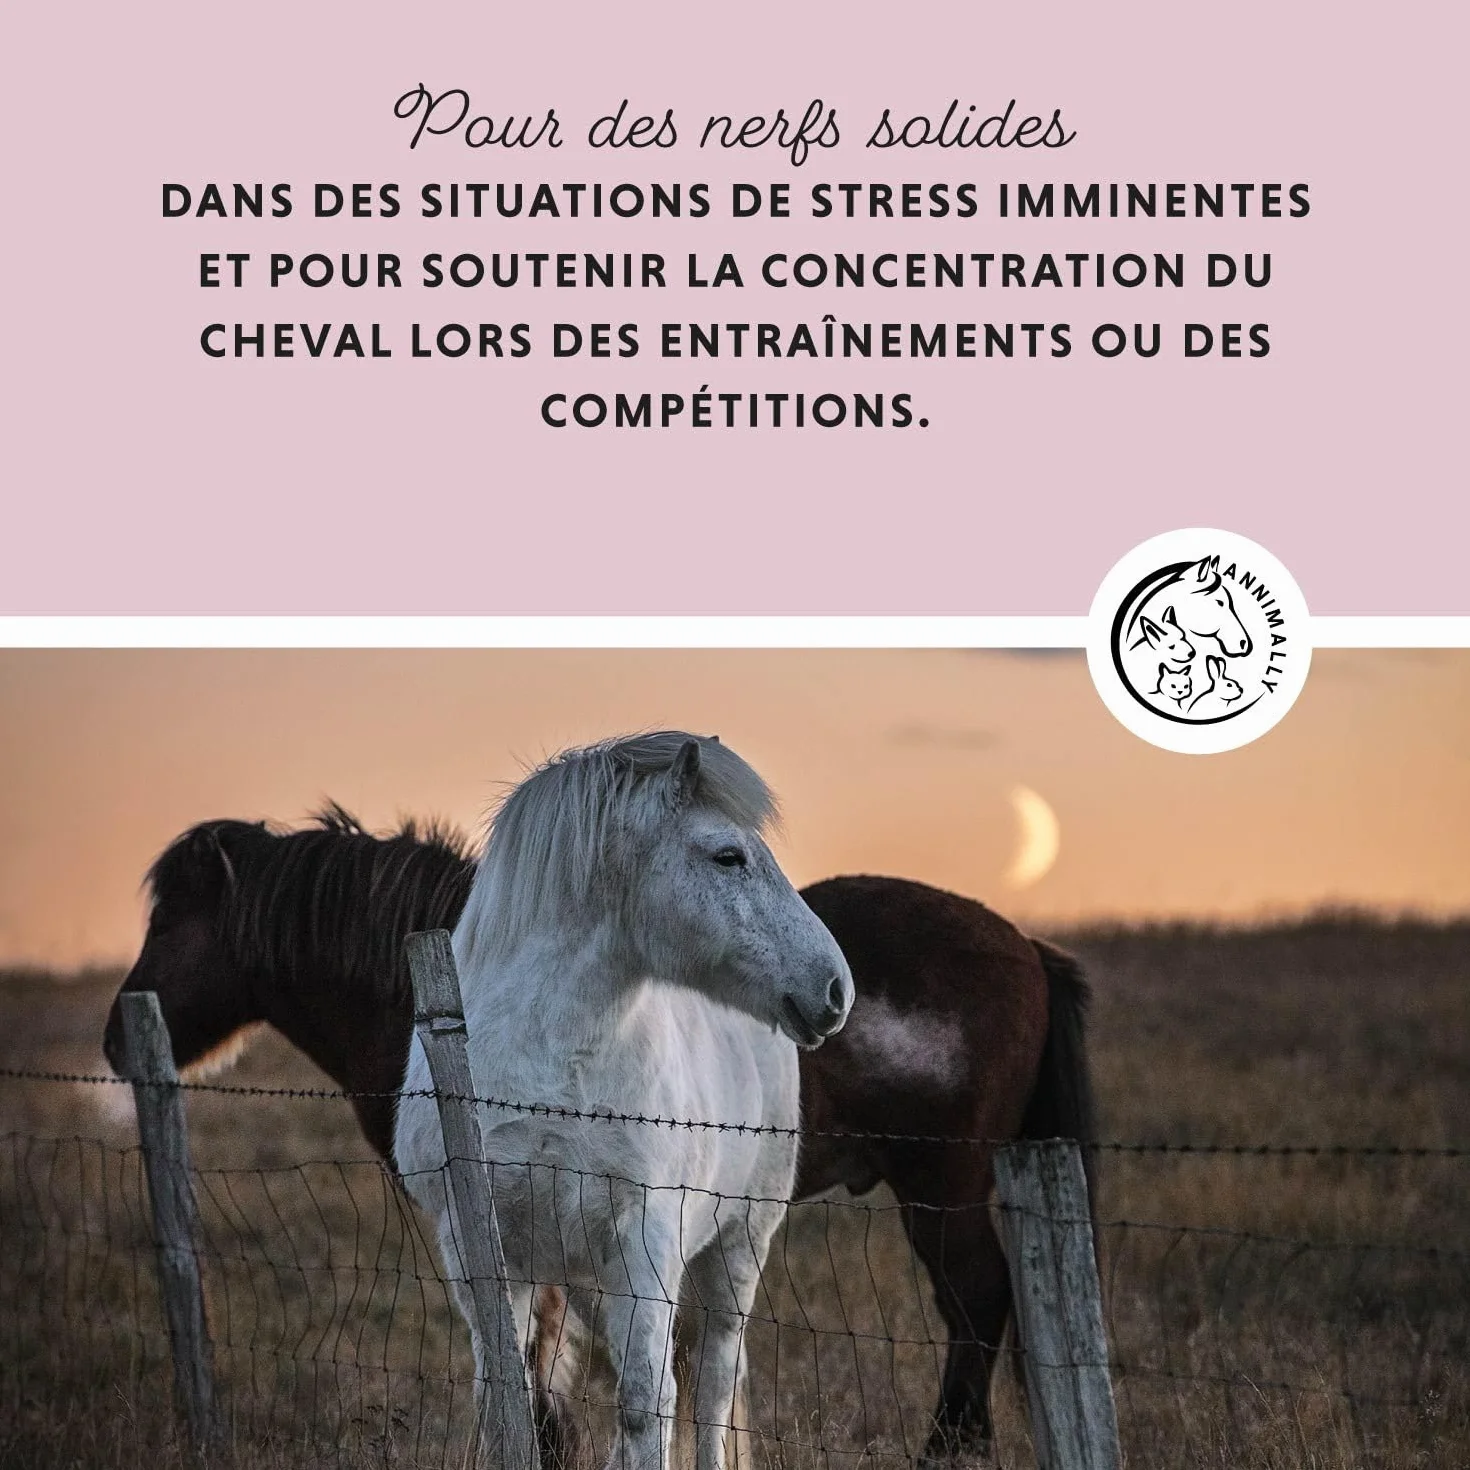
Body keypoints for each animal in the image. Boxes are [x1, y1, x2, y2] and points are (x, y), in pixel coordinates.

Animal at [106, 811, 1095, 1460]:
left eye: (168, 920)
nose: (115, 1036)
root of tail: (1027, 948)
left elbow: (549, 1377)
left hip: (939, 1192)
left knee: (976, 1304)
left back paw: (949, 1449)